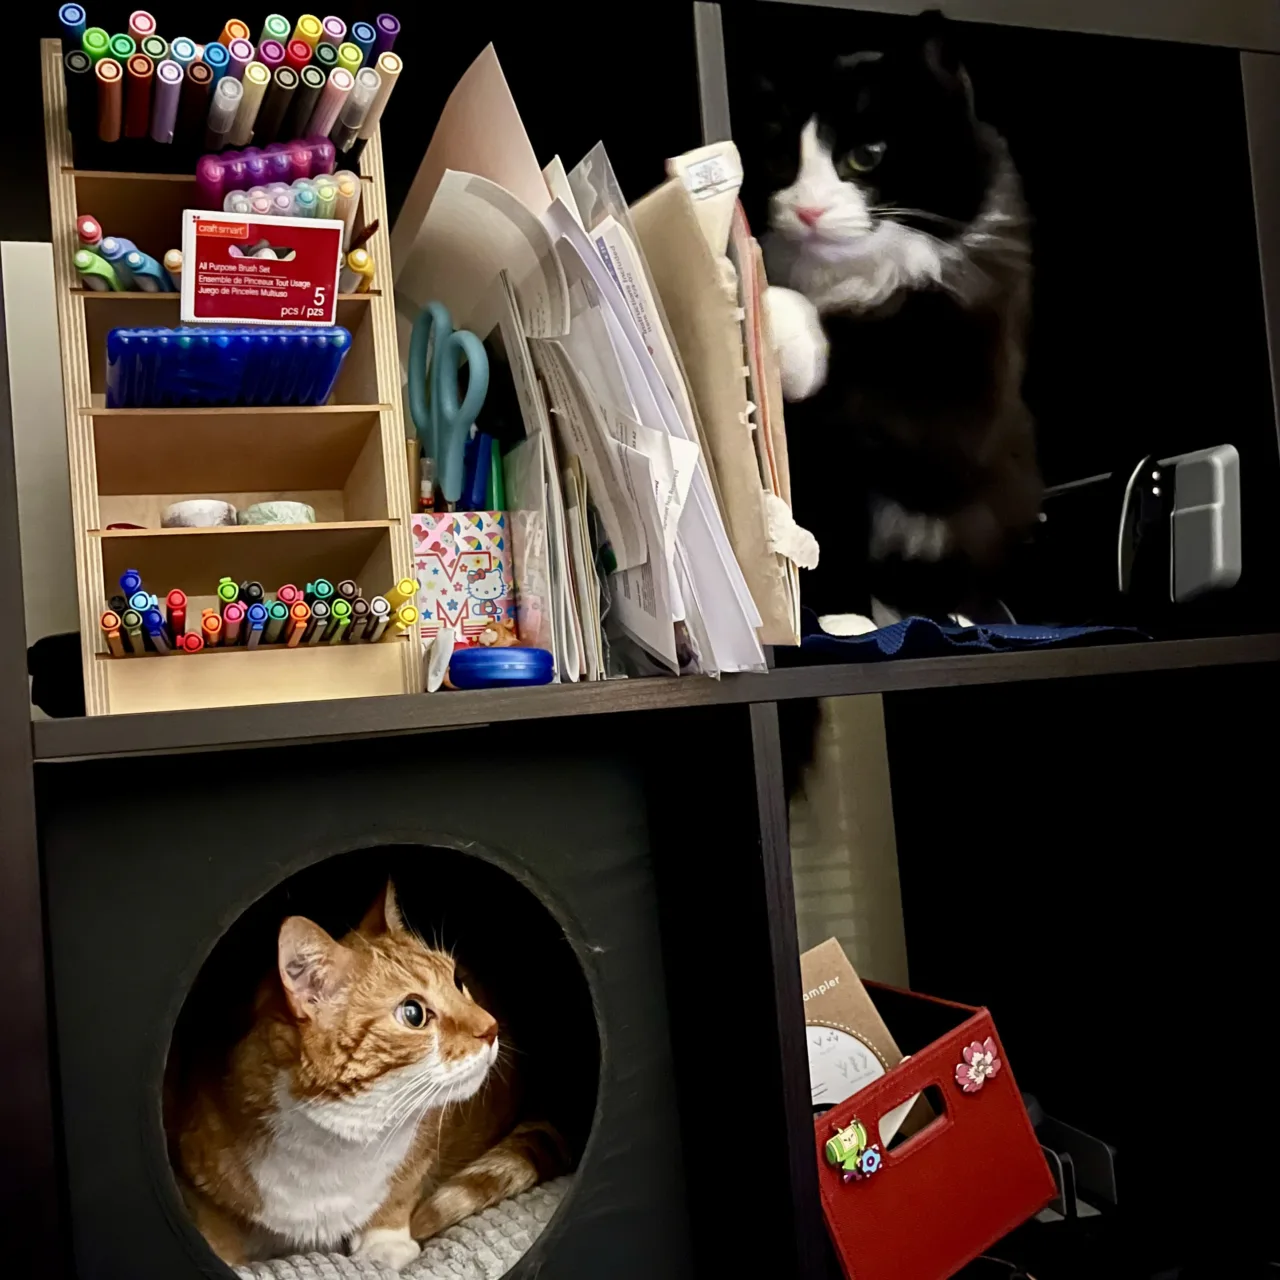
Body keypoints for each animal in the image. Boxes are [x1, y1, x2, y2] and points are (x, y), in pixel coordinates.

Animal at [167, 880, 568, 1269]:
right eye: (413, 1014)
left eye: (457, 980)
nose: (491, 1027)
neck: (336, 1146)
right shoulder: (197, 1175)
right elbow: (215, 1232)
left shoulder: (423, 1142)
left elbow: (402, 1188)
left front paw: (385, 1242)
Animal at [757, 17, 1039, 632]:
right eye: (783, 159)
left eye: (866, 155)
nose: (808, 210)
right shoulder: (818, 459)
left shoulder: (961, 389)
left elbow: (869, 367)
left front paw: (777, 309)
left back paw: (951, 617)